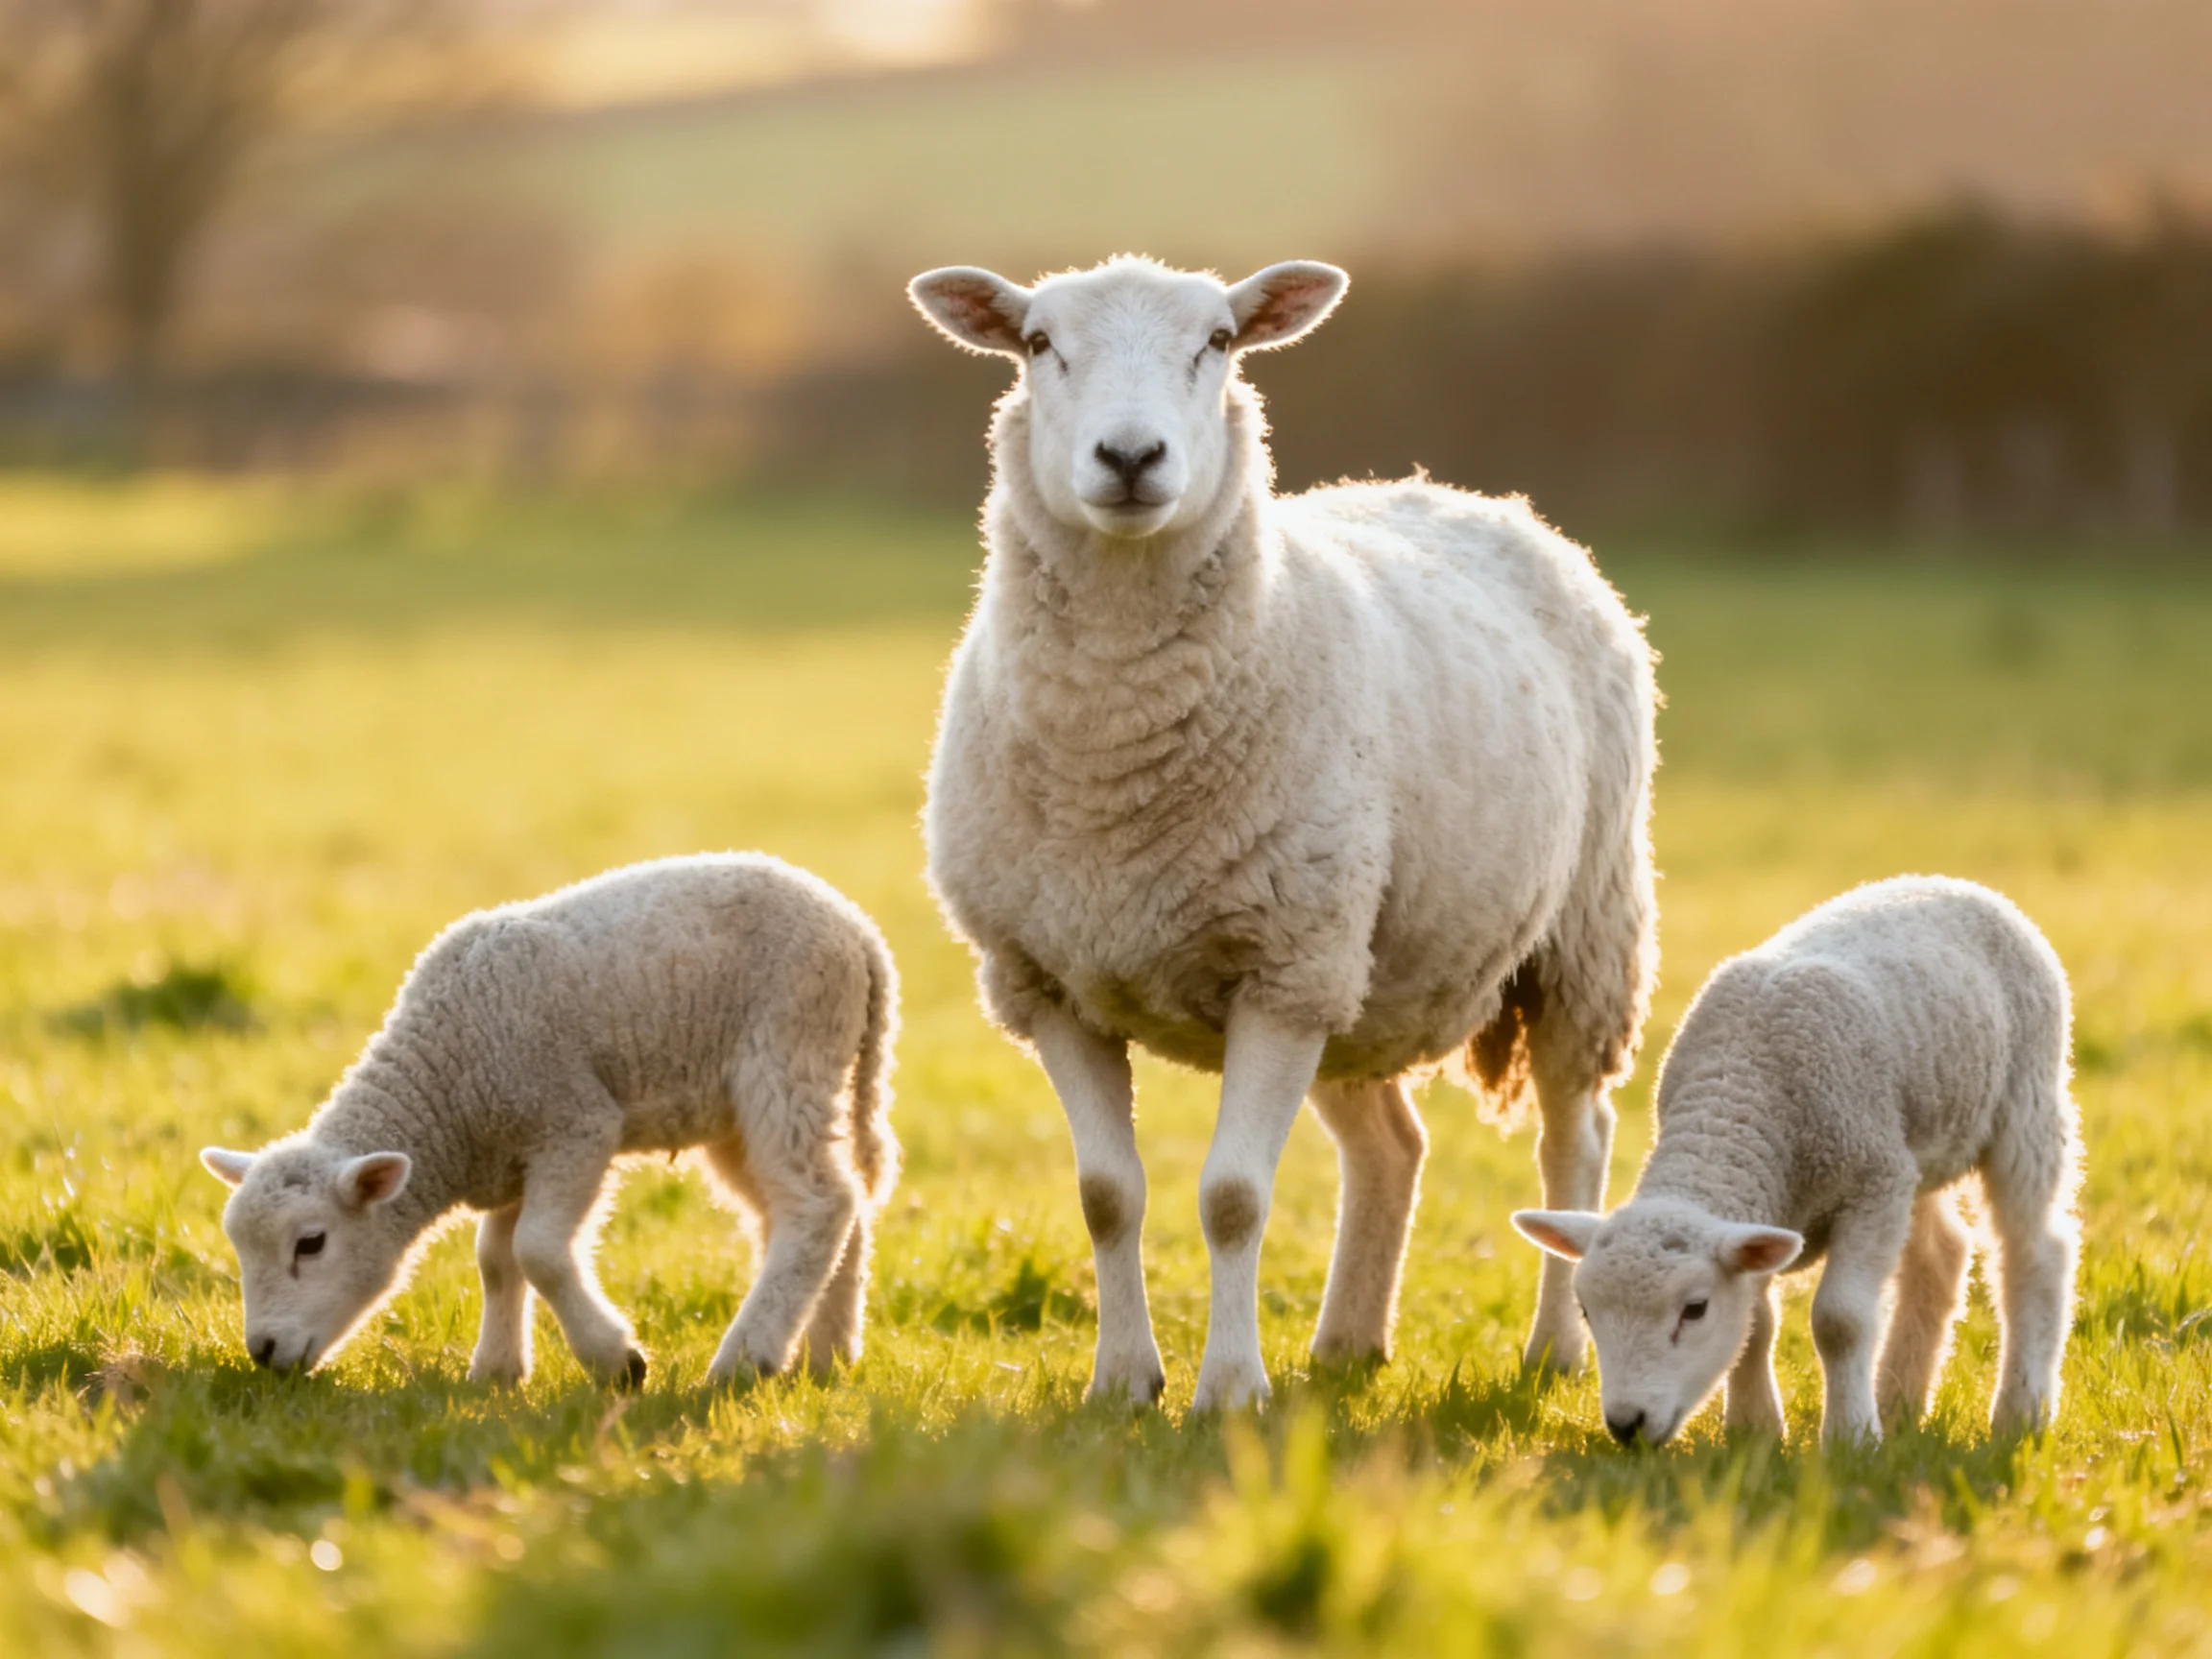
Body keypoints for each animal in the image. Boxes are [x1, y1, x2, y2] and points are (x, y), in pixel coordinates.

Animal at [198, 853, 898, 1388]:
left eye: (310, 1243)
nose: (262, 1352)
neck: (446, 1088)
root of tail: (860, 932)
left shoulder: (575, 1124)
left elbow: (537, 1251)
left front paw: (617, 1360)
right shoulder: (512, 1153)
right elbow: (495, 1259)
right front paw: (497, 1370)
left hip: (788, 1051)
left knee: (819, 1203)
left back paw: (748, 1357)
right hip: (740, 1111)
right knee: (831, 1204)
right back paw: (827, 1353)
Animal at [908, 254, 1658, 1411]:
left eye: (1218, 342)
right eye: (1038, 344)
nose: (1132, 458)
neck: (1113, 766)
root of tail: (1461, 492)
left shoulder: (1279, 973)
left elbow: (1232, 1199)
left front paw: (1229, 1390)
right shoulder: (1048, 982)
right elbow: (1106, 1194)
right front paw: (1123, 1382)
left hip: (1575, 936)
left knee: (1573, 1139)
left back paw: (1555, 1353)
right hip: (1360, 978)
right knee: (1392, 1146)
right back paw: (1349, 1342)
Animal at [1513, 875, 2081, 1447]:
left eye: (1694, 1309)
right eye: (1586, 1311)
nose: (1626, 1424)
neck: (1737, 1096)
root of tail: (1949, 882)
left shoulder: (1871, 1183)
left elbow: (1840, 1320)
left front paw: (1852, 1438)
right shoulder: (1795, 1202)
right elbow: (1756, 1323)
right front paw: (1754, 1429)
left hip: (2025, 1100)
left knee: (2036, 1252)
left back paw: (2020, 1412)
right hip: (1919, 1145)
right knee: (1940, 1254)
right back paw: (1898, 1402)